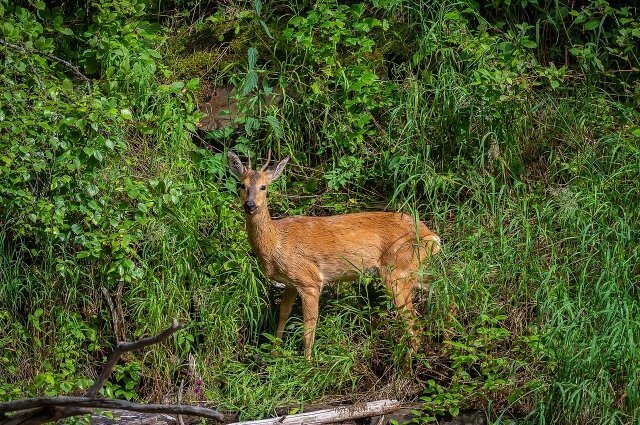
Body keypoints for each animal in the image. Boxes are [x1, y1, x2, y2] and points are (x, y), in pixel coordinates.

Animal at [228, 150, 442, 358]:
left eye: (264, 187)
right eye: (241, 184)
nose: (250, 205)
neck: (276, 243)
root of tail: (432, 237)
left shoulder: (310, 280)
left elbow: (309, 327)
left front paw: (307, 363)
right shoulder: (289, 283)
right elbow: (283, 314)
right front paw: (274, 353)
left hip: (396, 271)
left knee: (414, 326)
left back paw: (405, 365)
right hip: (411, 272)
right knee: (435, 290)